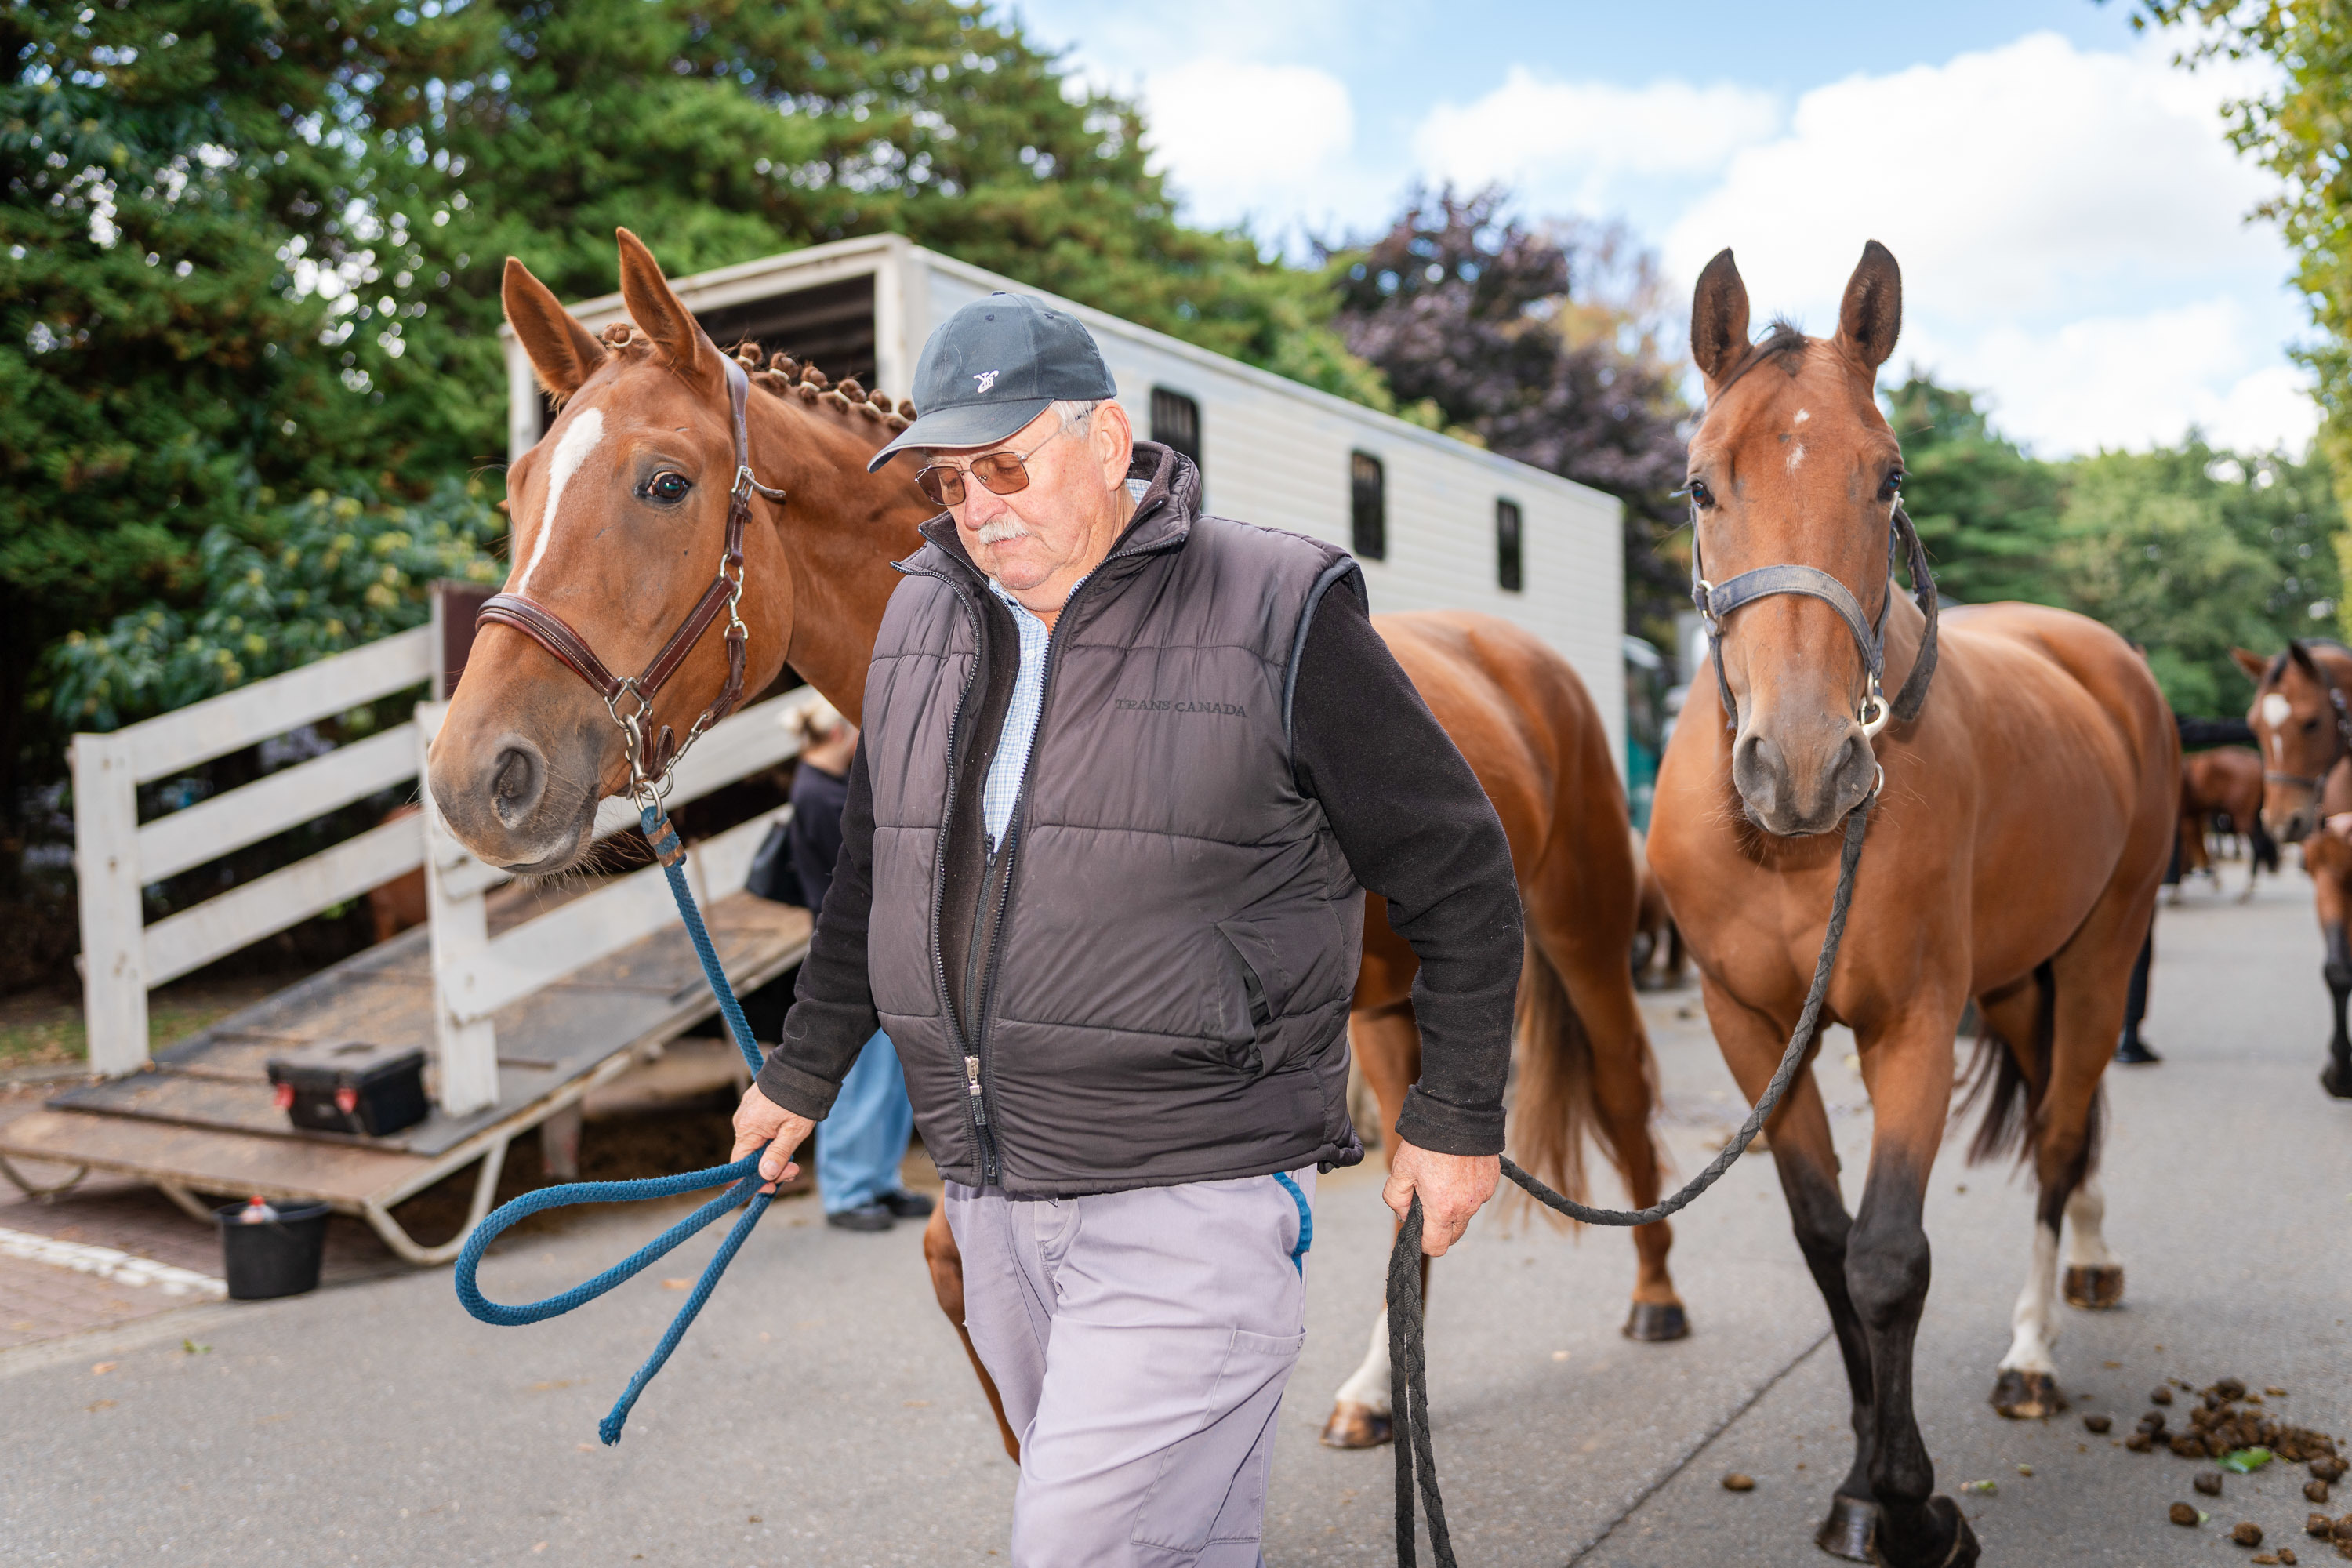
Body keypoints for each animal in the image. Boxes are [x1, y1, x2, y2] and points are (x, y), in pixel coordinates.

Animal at [1645, 242, 2177, 1568]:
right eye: (1698, 486)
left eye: (1887, 479)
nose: (1802, 765)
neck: (1796, 856)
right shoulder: (1749, 1032)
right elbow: (1826, 1242)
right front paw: (1860, 1457)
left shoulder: (1915, 1025)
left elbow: (1889, 1258)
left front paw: (1903, 1498)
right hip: (2022, 980)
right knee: (2058, 1116)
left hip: (2103, 954)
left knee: (2059, 1135)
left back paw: (2035, 1348)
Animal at [2230, 641, 2352, 1097]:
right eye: (2253, 725)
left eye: (2312, 722)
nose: (2285, 822)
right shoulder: (2329, 878)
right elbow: (2338, 971)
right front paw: (2340, 1071)